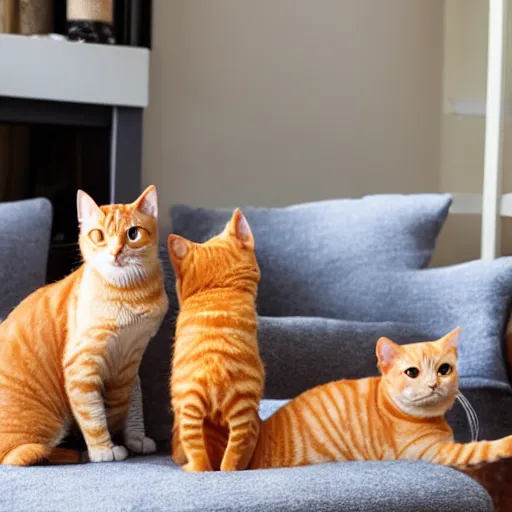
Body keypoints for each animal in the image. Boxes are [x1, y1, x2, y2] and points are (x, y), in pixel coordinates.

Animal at [0, 186, 169, 466]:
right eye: (98, 236)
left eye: (132, 234)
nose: (116, 252)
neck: (129, 296)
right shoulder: (81, 365)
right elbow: (94, 413)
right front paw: (104, 449)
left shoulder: (131, 361)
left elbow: (133, 402)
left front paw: (134, 438)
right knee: (19, 455)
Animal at [168, 210, 264, 474]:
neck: (218, 288)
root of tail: (214, 374)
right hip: (243, 414)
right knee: (233, 454)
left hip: (191, 413)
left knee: (202, 459)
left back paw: (190, 466)